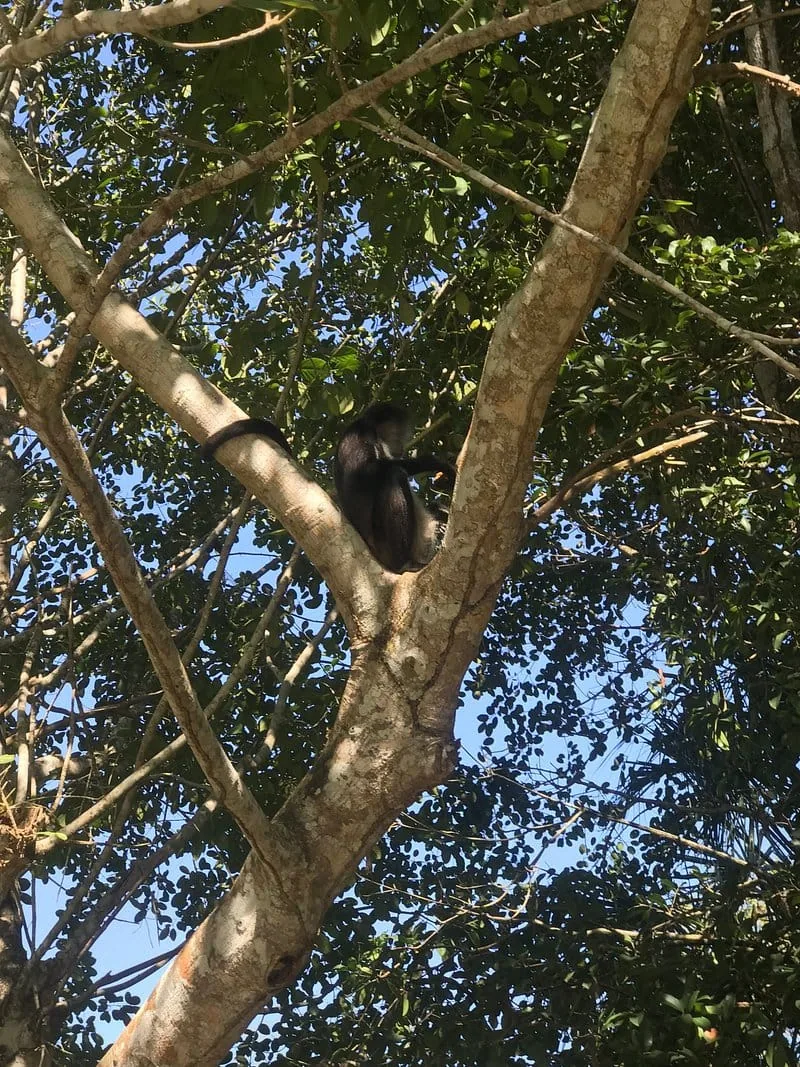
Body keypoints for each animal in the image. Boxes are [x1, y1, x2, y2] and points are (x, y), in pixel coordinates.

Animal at [333, 403, 456, 573]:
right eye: (397, 432)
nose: (401, 444)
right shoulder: (359, 431)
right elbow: (362, 472)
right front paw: (434, 462)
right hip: (381, 544)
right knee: (394, 474)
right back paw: (404, 564)